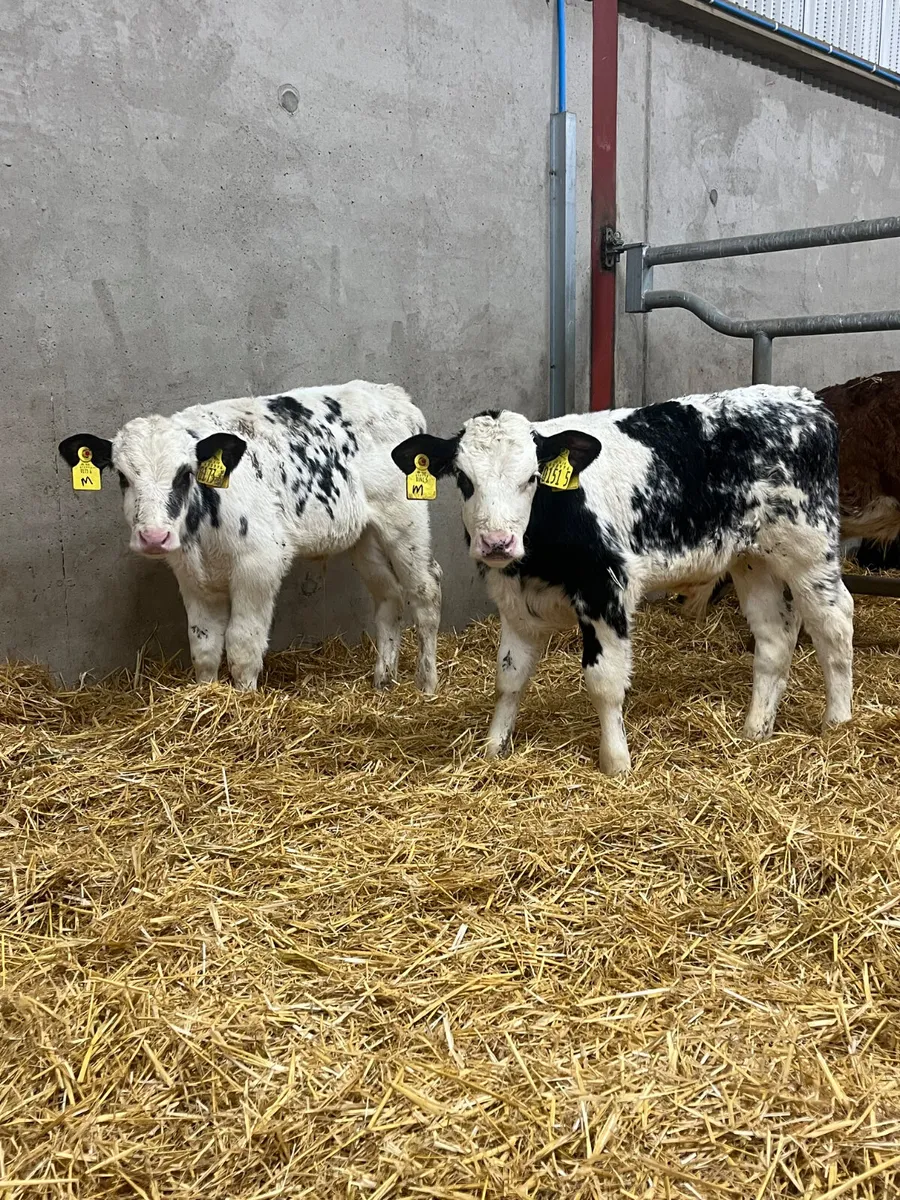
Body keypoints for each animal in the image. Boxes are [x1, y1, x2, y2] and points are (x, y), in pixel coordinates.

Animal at [59, 381, 442, 693]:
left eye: (184, 474)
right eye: (122, 476)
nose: (154, 537)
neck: (202, 533)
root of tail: (393, 394)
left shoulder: (260, 563)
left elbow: (242, 645)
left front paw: (242, 701)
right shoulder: (191, 576)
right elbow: (204, 646)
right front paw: (206, 694)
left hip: (405, 521)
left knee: (426, 591)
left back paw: (426, 685)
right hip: (366, 537)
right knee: (389, 597)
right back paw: (383, 681)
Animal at [391, 386, 853, 775]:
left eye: (532, 478)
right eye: (464, 480)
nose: (496, 543)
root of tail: (807, 401)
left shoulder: (606, 591)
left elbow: (604, 682)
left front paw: (616, 763)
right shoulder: (514, 602)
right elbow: (509, 677)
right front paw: (493, 749)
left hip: (810, 548)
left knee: (834, 622)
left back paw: (838, 724)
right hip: (753, 560)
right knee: (775, 637)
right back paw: (755, 731)